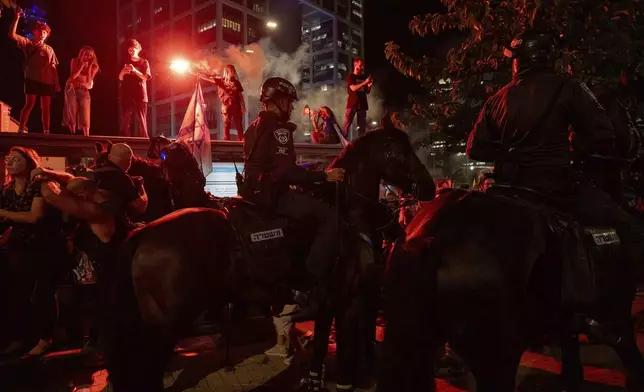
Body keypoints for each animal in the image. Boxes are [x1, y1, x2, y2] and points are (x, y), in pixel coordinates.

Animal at [100, 125, 436, 388]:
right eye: (400, 153)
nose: (430, 187)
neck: (346, 213)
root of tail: (144, 234)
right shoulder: (344, 299)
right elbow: (340, 345)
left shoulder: (332, 302)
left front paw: (316, 378)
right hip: (163, 331)